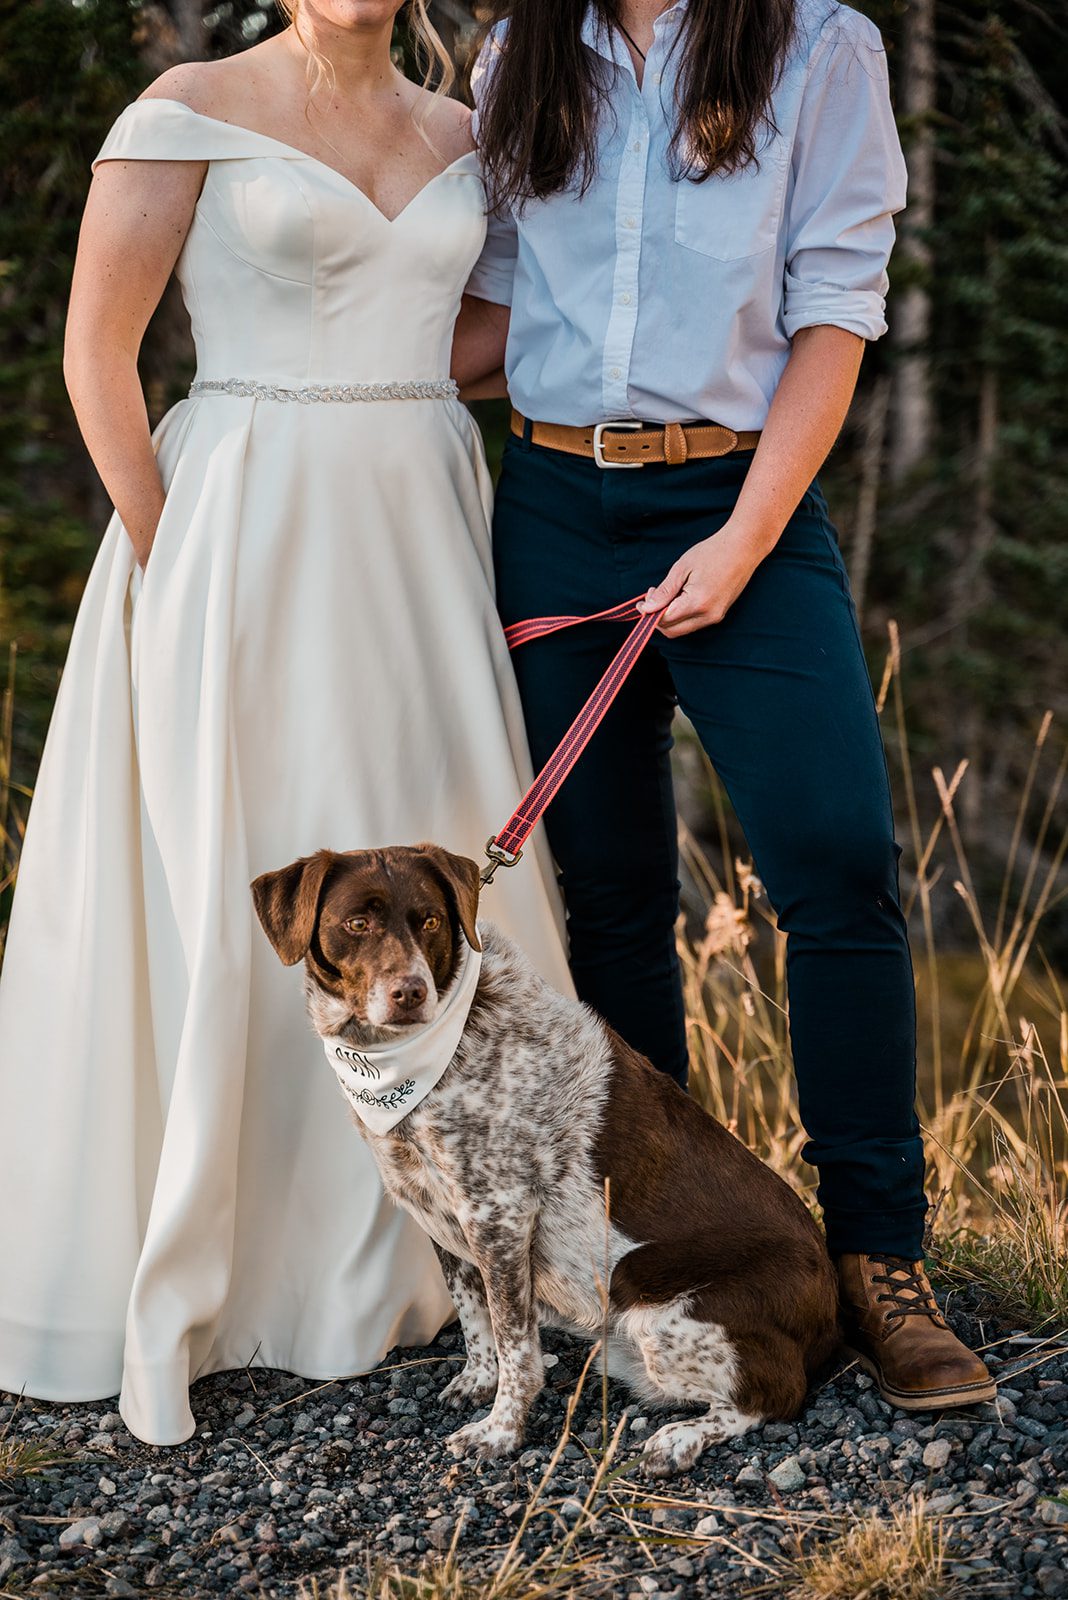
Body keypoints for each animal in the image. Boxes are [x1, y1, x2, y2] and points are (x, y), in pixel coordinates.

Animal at [252, 844, 844, 1478]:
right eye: (356, 923)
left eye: (429, 921)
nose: (410, 992)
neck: (405, 1062)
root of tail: (832, 1316)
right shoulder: (442, 1211)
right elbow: (474, 1316)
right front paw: (478, 1382)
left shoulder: (499, 1216)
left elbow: (516, 1343)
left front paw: (500, 1432)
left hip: (653, 1308)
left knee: (775, 1395)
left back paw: (680, 1440)